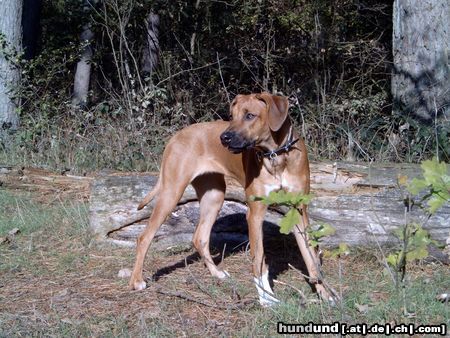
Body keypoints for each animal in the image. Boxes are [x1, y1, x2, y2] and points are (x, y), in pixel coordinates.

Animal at [129, 92, 334, 306]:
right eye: (231, 116)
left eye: (250, 115)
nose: (223, 138)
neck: (276, 156)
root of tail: (175, 137)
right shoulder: (255, 213)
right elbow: (258, 259)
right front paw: (266, 298)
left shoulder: (299, 210)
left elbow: (311, 257)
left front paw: (324, 294)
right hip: (172, 192)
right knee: (144, 237)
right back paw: (137, 281)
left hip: (214, 196)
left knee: (200, 237)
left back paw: (216, 273)